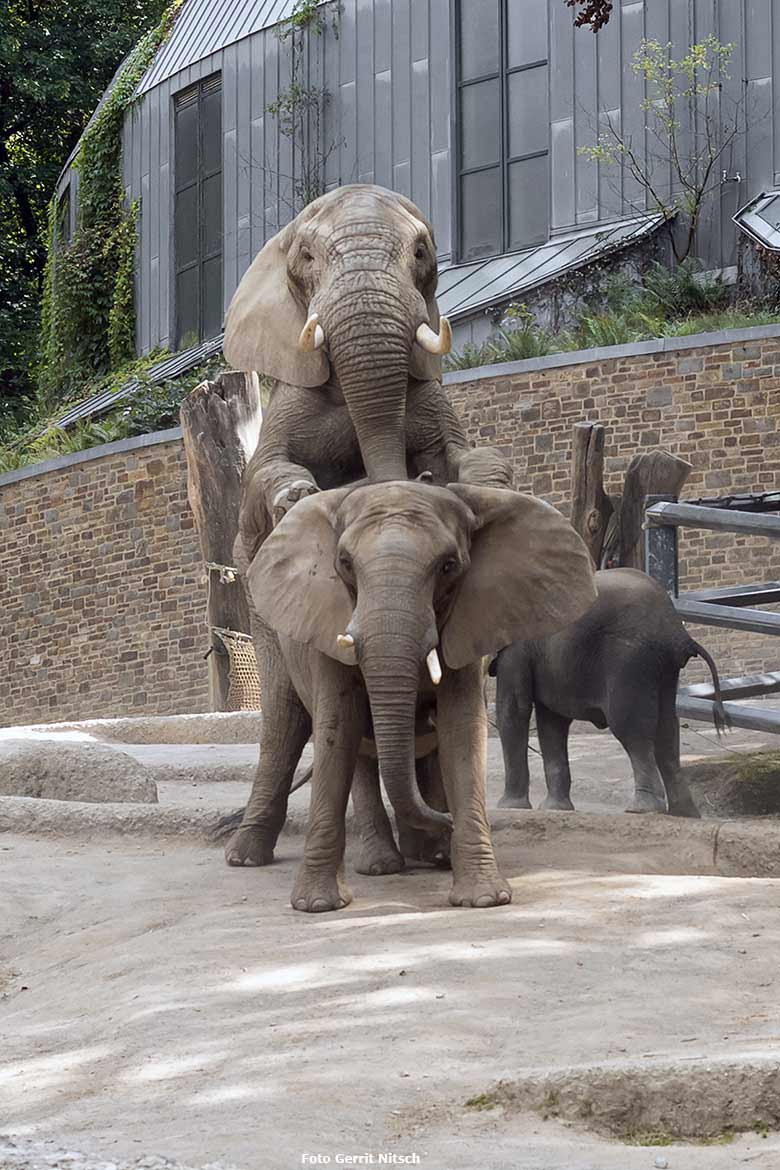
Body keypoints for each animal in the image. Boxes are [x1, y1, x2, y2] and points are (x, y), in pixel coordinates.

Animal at [240, 479, 594, 907]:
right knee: (285, 728)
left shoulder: (472, 620)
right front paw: (318, 906)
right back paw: (258, 858)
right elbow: (337, 729)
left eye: (448, 566)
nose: (449, 822)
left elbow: (461, 729)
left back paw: (424, 854)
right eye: (344, 563)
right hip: (270, 633)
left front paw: (483, 898)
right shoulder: (328, 617)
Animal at [491, 570, 729, 819]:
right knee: (667, 731)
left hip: (629, 657)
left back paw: (641, 809)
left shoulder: (517, 642)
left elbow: (514, 709)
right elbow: (552, 721)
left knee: (631, 728)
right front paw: (555, 809)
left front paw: (509, 807)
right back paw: (684, 813)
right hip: (664, 668)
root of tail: (679, 633)